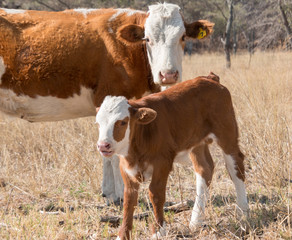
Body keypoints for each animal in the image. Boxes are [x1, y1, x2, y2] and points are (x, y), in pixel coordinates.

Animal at [96, 73, 249, 240]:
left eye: (123, 122)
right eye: (98, 123)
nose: (103, 145)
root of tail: (209, 78)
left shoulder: (162, 162)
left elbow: (156, 194)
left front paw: (159, 230)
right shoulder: (125, 167)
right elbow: (129, 200)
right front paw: (123, 234)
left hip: (226, 132)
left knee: (236, 167)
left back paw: (243, 213)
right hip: (196, 142)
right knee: (205, 170)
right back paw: (196, 221)